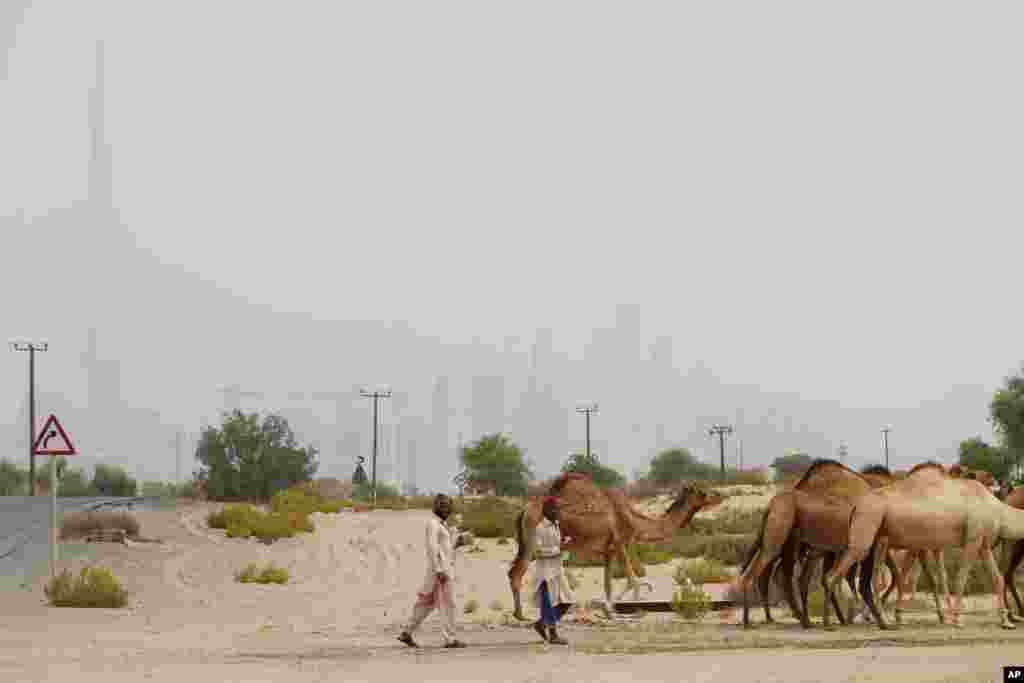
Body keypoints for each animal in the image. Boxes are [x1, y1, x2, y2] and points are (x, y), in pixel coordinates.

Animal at [507, 473, 724, 622]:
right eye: (703, 492)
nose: (719, 495)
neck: (634, 520)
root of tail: (524, 511)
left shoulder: (607, 550)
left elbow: (608, 582)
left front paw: (609, 611)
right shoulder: (619, 543)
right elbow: (632, 578)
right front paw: (627, 611)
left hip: (538, 544)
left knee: (529, 572)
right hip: (533, 542)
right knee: (518, 572)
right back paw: (521, 615)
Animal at [823, 458, 1024, 630]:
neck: (997, 508)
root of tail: (857, 505)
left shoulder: (983, 544)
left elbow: (997, 579)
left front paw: (1006, 622)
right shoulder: (972, 539)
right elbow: (960, 578)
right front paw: (957, 620)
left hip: (879, 538)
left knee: (871, 580)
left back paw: (883, 622)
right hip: (867, 528)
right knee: (834, 576)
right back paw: (831, 623)